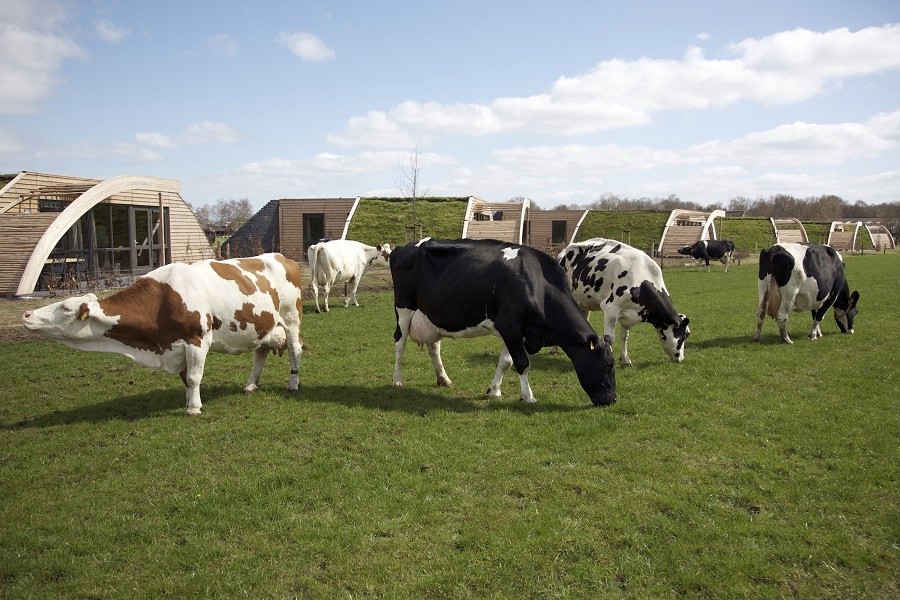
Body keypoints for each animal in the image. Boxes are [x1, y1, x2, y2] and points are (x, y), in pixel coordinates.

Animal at [22, 253, 303, 415]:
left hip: (291, 318)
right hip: (264, 326)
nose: (26, 315)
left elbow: (193, 377)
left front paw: (193, 408)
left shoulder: (197, 339)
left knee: (295, 350)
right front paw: (189, 401)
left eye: (65, 308)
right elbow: (186, 378)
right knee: (261, 353)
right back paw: (251, 384)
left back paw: (293, 383)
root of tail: (282, 256)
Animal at [390, 238, 617, 406]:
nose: (613, 399)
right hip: (403, 309)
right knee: (399, 344)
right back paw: (398, 380)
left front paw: (494, 391)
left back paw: (443, 379)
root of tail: (402, 248)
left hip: (432, 316)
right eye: (607, 364)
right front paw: (528, 396)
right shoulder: (510, 325)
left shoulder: (516, 330)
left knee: (434, 347)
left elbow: (506, 362)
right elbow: (522, 363)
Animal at [557, 238, 690, 365]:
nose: (681, 358)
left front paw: (625, 359)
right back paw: (554, 349)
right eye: (684, 335)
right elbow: (610, 338)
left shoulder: (626, 315)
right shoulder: (610, 308)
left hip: (583, 302)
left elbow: (625, 336)